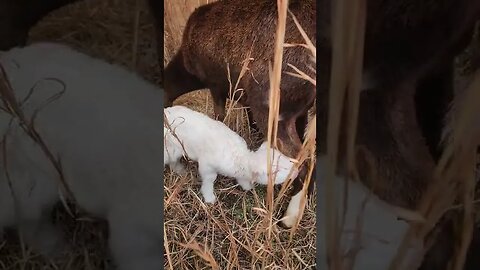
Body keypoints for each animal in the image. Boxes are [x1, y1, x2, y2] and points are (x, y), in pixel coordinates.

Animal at [165, 105, 300, 202]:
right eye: (278, 170)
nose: (297, 172)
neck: (241, 158)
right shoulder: (207, 165)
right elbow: (209, 179)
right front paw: (209, 198)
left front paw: (247, 186)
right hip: (171, 148)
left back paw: (181, 171)